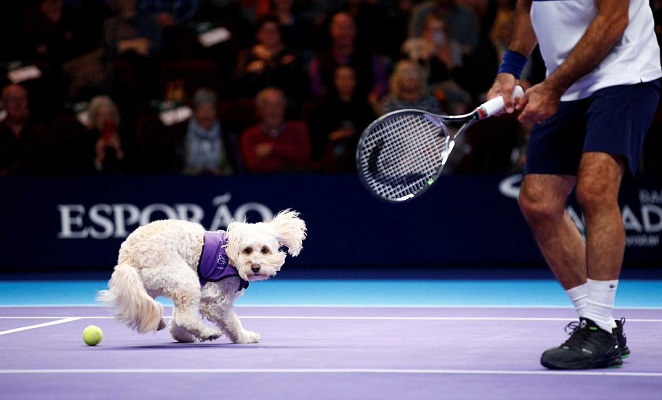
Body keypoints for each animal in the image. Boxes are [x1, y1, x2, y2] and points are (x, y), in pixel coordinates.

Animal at [97, 209, 308, 344]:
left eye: (265, 250)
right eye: (247, 250)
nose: (255, 267)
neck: (231, 257)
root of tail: (127, 256)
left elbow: (176, 321)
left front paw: (179, 335)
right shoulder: (216, 302)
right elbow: (231, 322)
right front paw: (244, 337)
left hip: (154, 284)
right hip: (184, 279)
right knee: (186, 318)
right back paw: (208, 334)